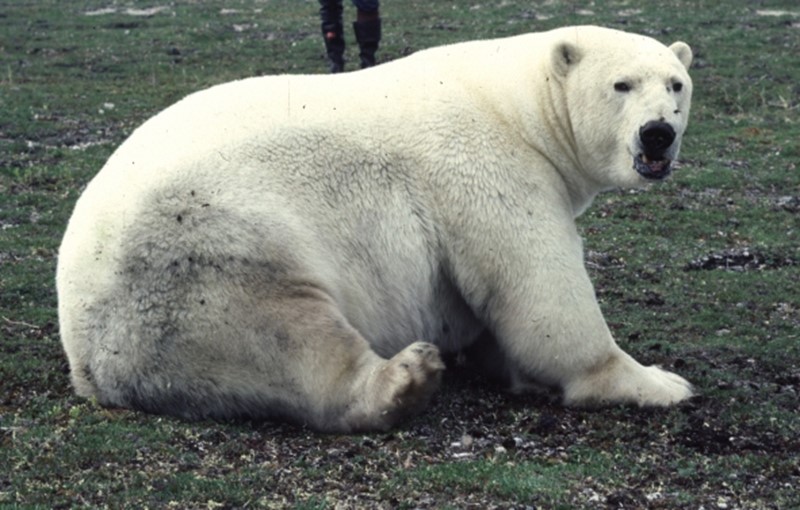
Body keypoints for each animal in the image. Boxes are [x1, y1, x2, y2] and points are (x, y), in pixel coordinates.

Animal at [56, 25, 694, 432]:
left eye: (676, 84)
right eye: (621, 84)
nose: (658, 134)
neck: (520, 106)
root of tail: (89, 362)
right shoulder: (490, 167)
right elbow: (542, 293)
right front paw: (658, 382)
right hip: (206, 252)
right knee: (285, 334)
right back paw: (405, 379)